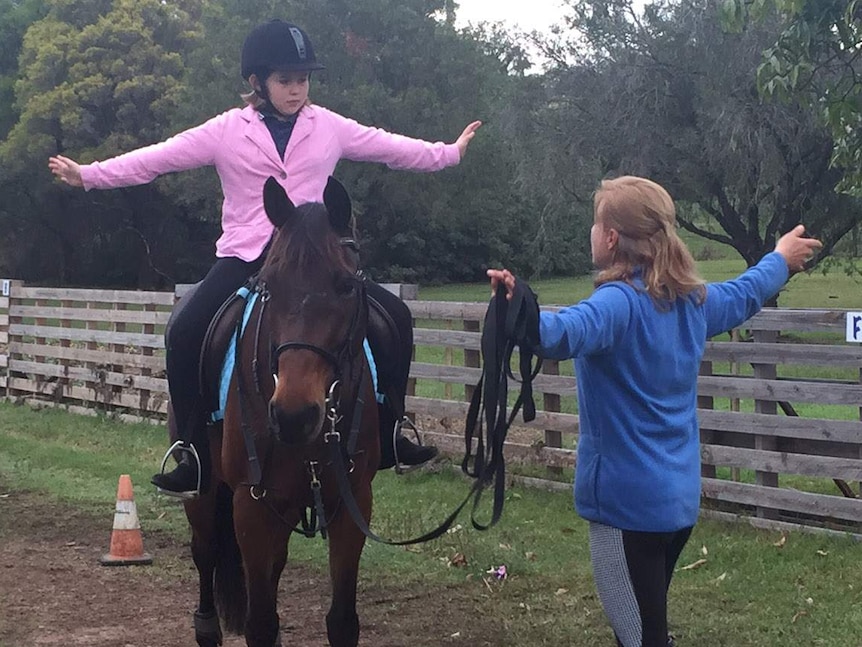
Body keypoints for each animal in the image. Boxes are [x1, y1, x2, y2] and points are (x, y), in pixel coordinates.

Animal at [179, 177, 382, 647]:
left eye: (346, 285)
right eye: (269, 285)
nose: (293, 414)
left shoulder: (353, 504)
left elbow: (342, 621)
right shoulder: (251, 506)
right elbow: (260, 624)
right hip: (205, 490)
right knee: (205, 552)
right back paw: (206, 624)